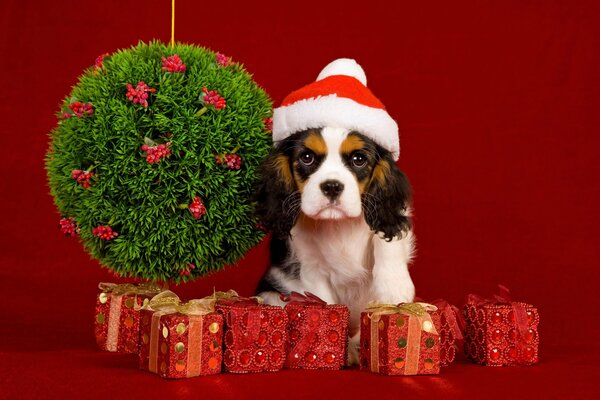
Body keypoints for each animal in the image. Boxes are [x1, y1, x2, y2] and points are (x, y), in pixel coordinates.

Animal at [255, 126, 414, 364]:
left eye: (358, 159)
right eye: (307, 157)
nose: (331, 186)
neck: (338, 224)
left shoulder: (389, 218)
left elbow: (386, 240)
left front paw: (394, 287)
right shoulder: (311, 268)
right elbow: (326, 303)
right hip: (271, 295)